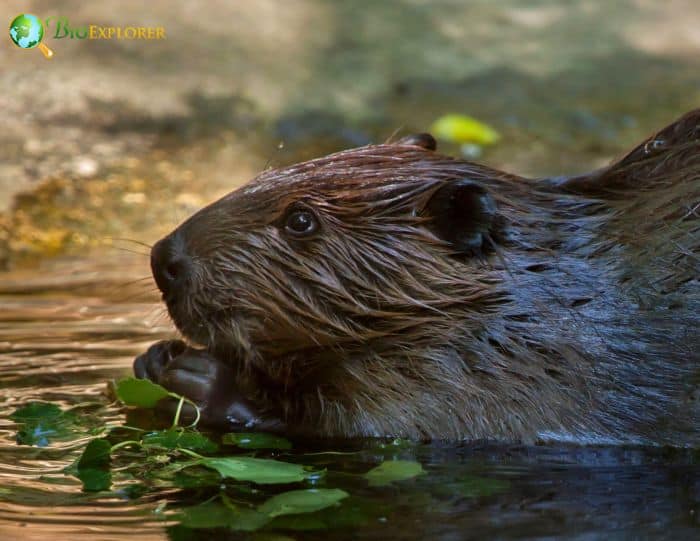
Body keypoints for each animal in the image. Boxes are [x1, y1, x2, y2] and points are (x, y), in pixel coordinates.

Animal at [133, 108, 700, 442]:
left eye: (301, 220)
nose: (164, 259)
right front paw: (153, 356)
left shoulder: (496, 375)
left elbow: (357, 424)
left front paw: (199, 376)